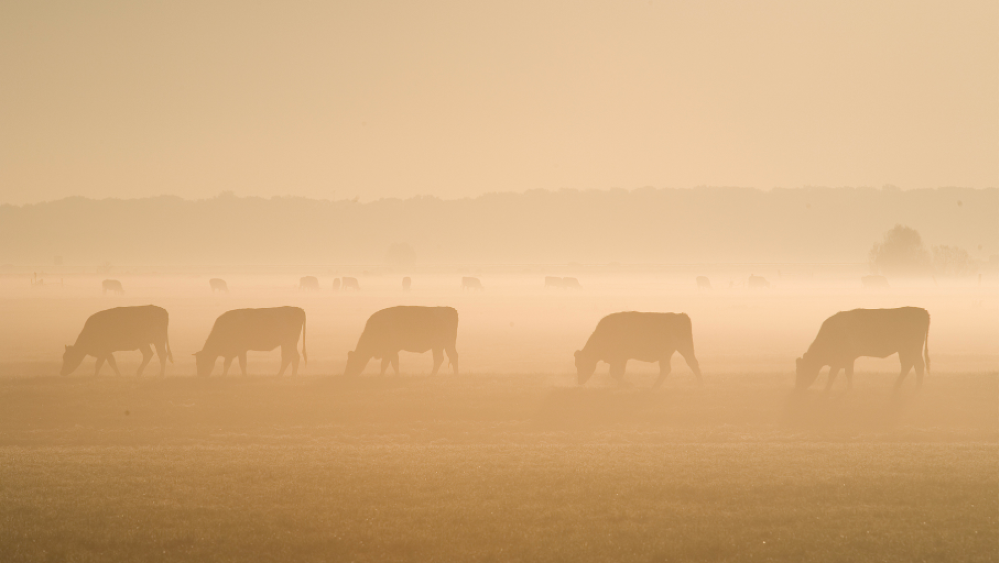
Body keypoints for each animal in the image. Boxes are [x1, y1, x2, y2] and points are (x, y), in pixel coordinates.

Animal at [795, 307, 930, 392]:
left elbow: (833, 374)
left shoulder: (842, 358)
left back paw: (916, 389)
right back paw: (898, 387)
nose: (797, 388)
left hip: (911, 349)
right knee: (908, 366)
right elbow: (848, 373)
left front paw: (827, 390)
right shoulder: (848, 359)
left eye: (803, 370)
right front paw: (849, 389)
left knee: (917, 366)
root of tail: (922, 311)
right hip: (905, 350)